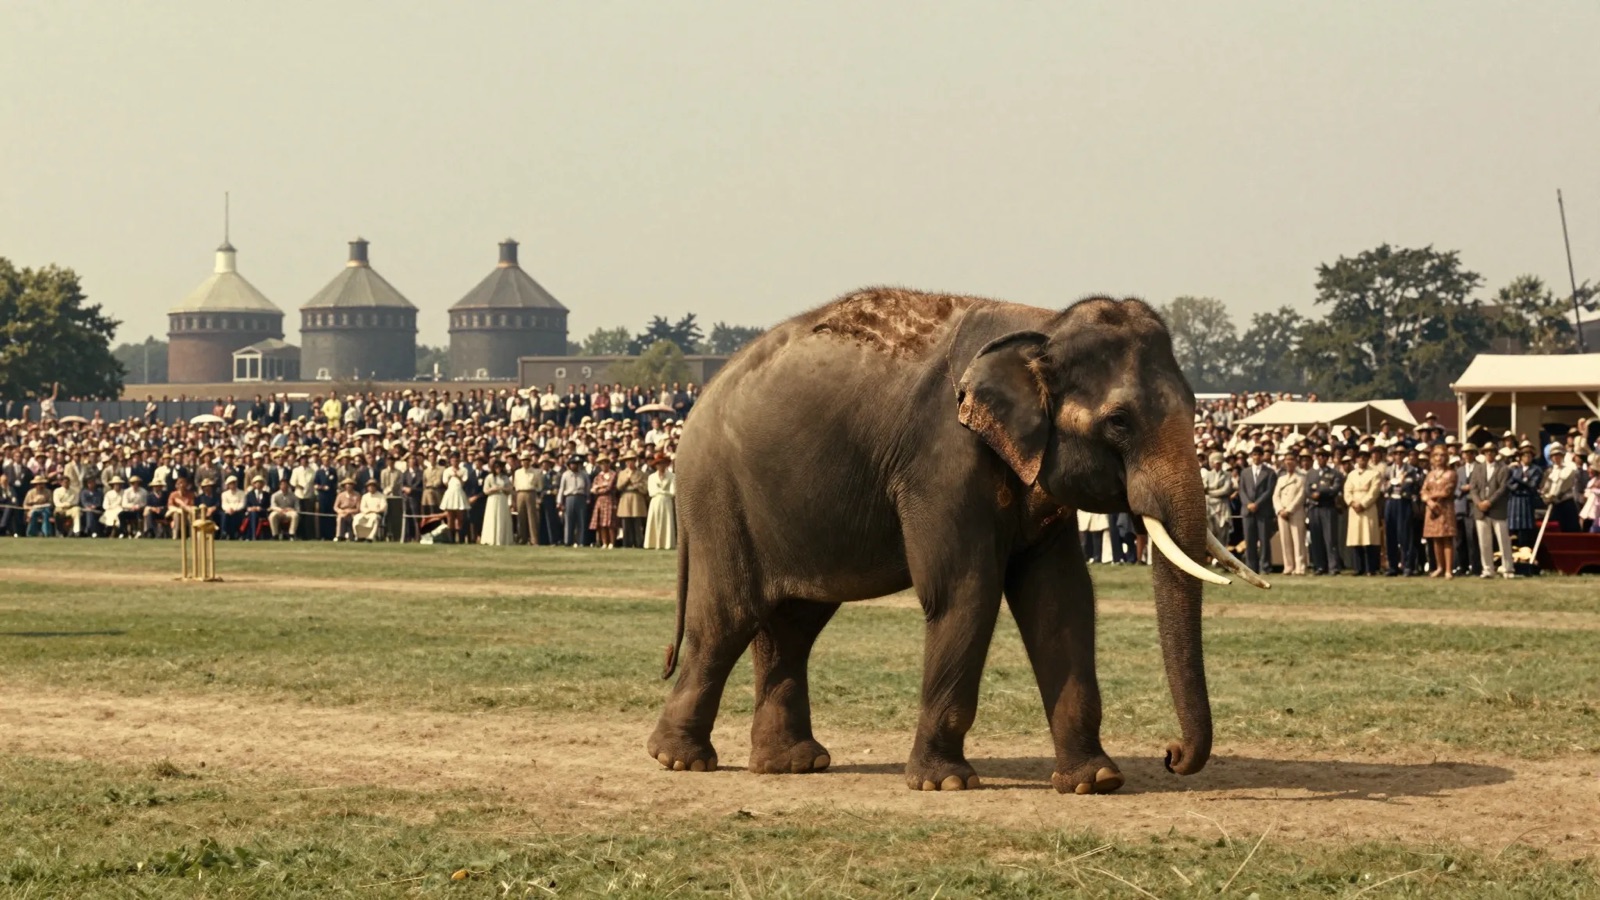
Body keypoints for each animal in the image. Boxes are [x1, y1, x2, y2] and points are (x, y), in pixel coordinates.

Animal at [647, 287, 1268, 793]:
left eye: (1195, 407)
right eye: (1118, 421)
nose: (1171, 754)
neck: (1042, 325)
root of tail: (696, 406)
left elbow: (1061, 598)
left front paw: (1096, 781)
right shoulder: (941, 459)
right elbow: (964, 589)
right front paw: (944, 783)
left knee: (793, 623)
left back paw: (792, 765)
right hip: (721, 500)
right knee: (728, 618)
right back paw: (679, 760)